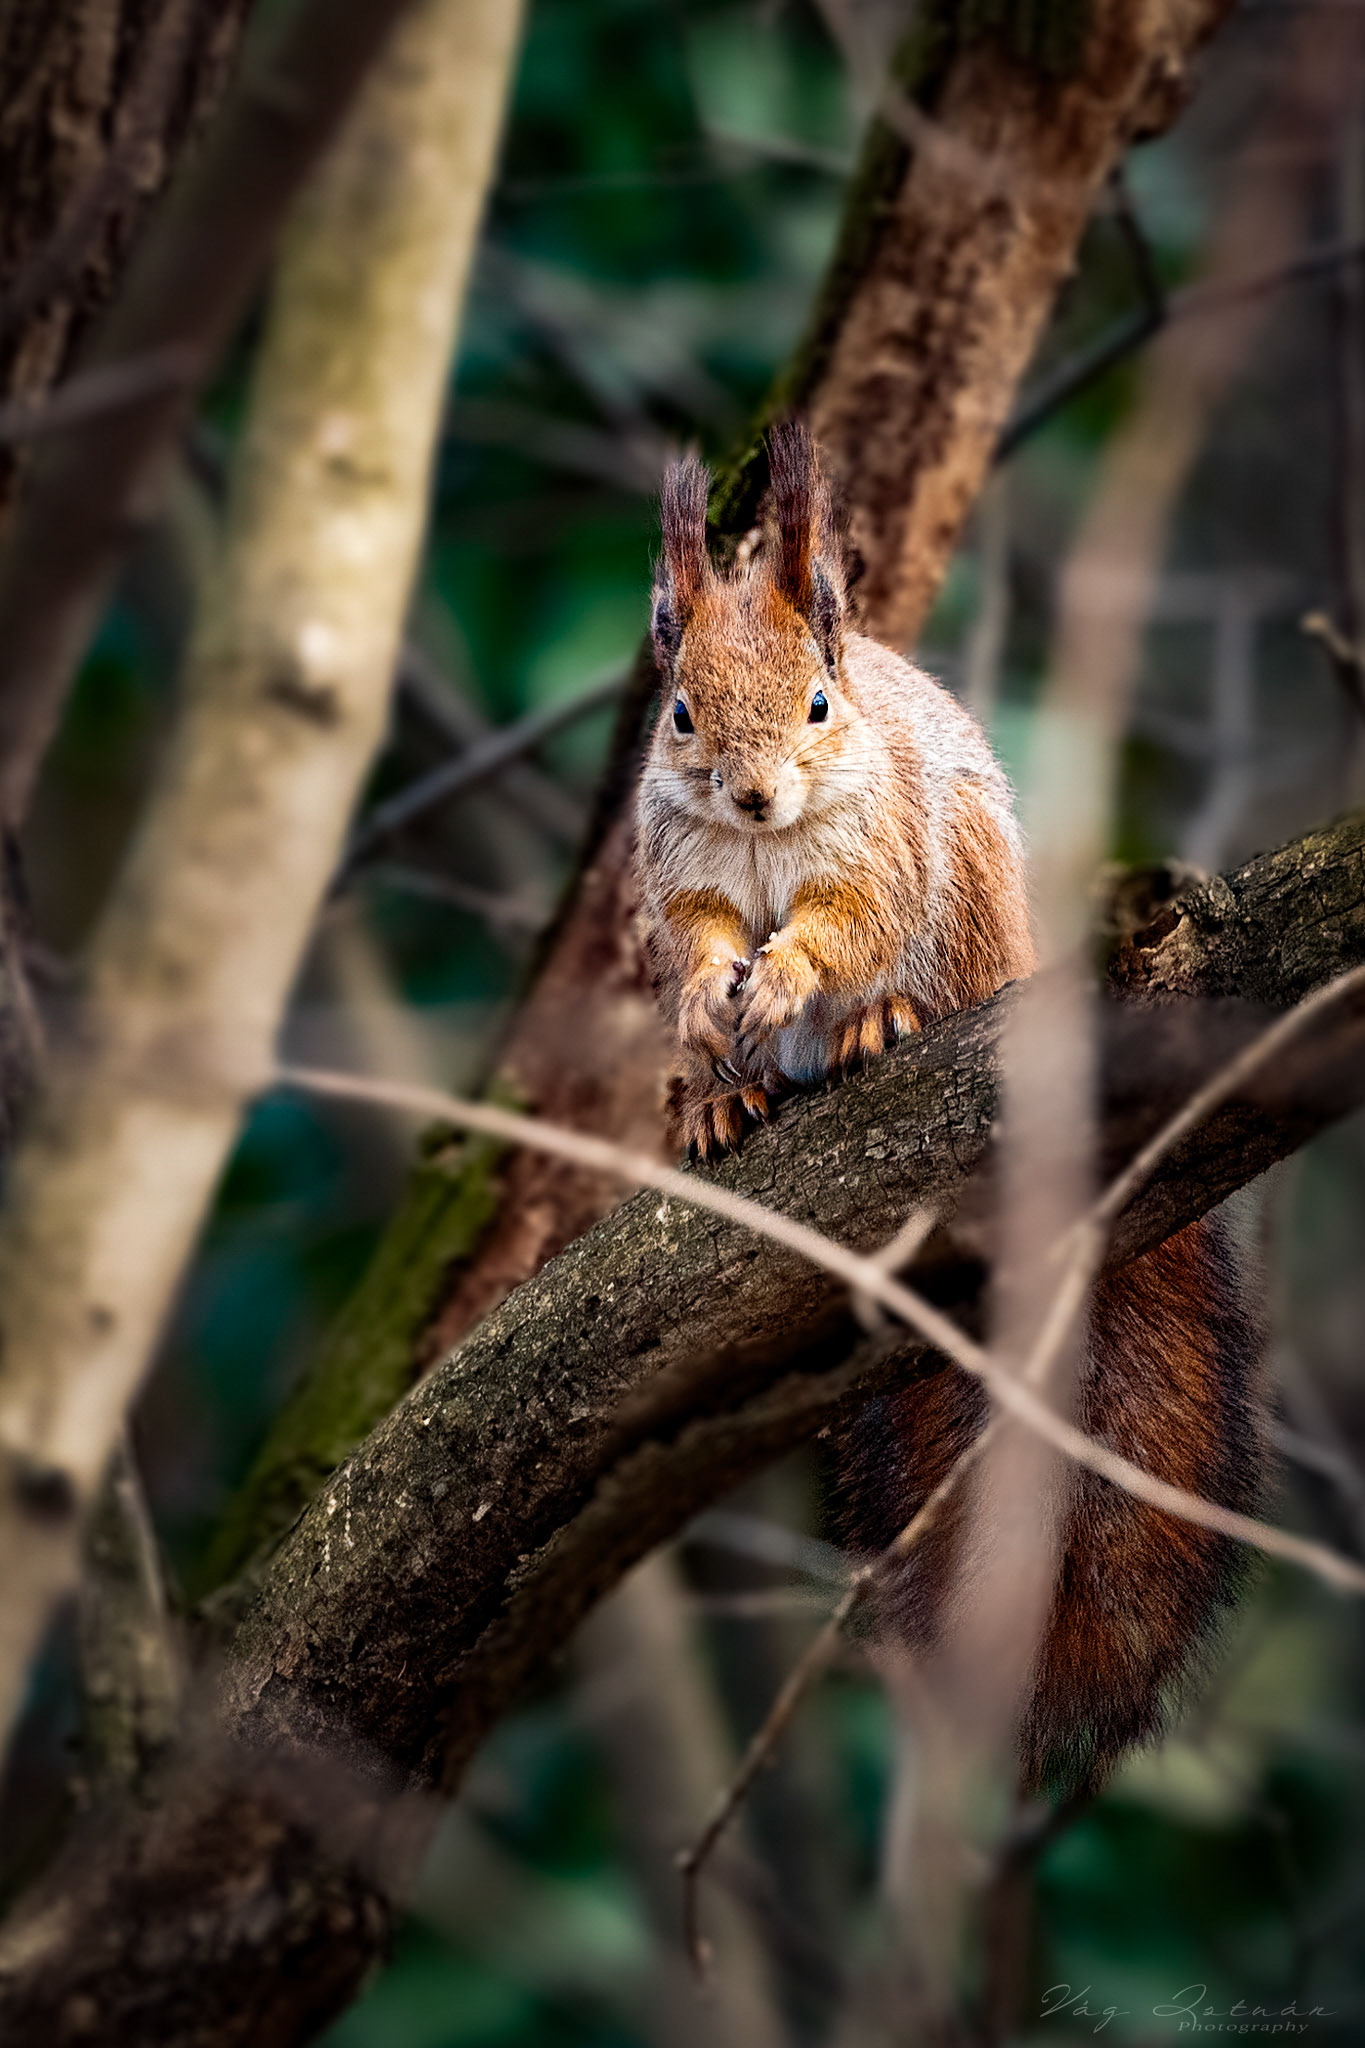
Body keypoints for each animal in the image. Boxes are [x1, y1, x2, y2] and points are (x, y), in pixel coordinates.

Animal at [634, 421, 1262, 1791]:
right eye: (681, 710)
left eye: (819, 704)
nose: (753, 796)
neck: (766, 840)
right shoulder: (678, 870)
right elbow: (698, 933)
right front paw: (715, 995)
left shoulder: (883, 844)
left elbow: (847, 920)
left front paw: (801, 977)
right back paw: (722, 1096)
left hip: (966, 895)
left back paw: (873, 1025)